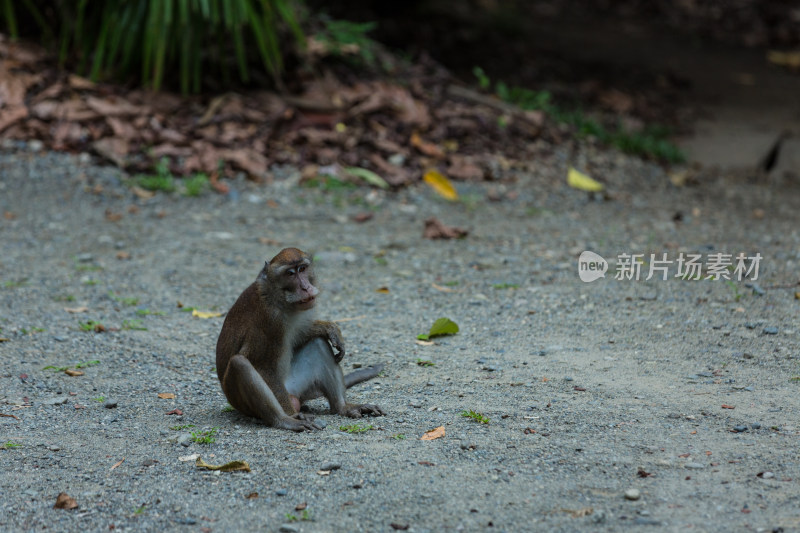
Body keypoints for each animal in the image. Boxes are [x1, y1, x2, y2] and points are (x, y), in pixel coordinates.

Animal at [216, 247, 384, 430]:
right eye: (290, 273)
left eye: (302, 269)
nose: (305, 287)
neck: (279, 298)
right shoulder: (270, 320)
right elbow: (263, 366)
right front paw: (290, 416)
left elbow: (300, 334)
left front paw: (329, 328)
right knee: (239, 363)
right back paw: (285, 419)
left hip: (296, 386)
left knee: (318, 343)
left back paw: (343, 407)